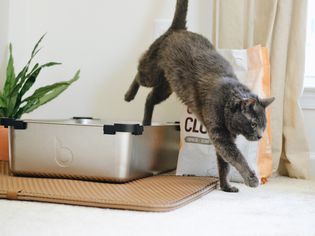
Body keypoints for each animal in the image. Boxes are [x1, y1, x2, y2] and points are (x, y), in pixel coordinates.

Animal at [124, 0, 276, 192]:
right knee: (139, 74)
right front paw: (251, 179)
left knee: (150, 98)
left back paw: (146, 121)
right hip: (152, 74)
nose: (260, 136)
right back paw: (128, 95)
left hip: (167, 87)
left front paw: (226, 187)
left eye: (264, 125)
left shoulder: (224, 137)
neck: (226, 100)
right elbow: (237, 157)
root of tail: (178, 29)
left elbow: (224, 164)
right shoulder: (220, 135)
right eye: (254, 123)